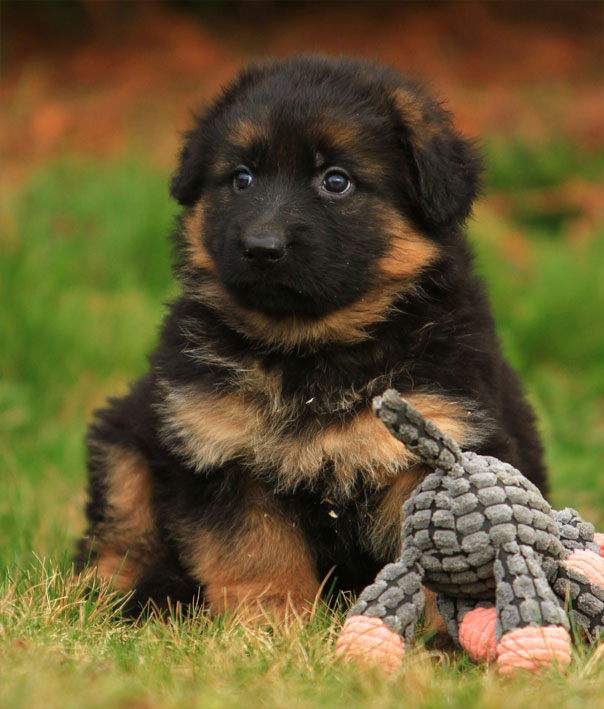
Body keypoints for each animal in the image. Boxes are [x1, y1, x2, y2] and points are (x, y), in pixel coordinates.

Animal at [76, 56, 546, 623]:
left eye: (335, 181)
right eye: (242, 178)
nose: (261, 247)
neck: (312, 352)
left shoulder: (436, 438)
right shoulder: (218, 446)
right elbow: (254, 550)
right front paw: (271, 624)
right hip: (123, 442)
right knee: (118, 537)